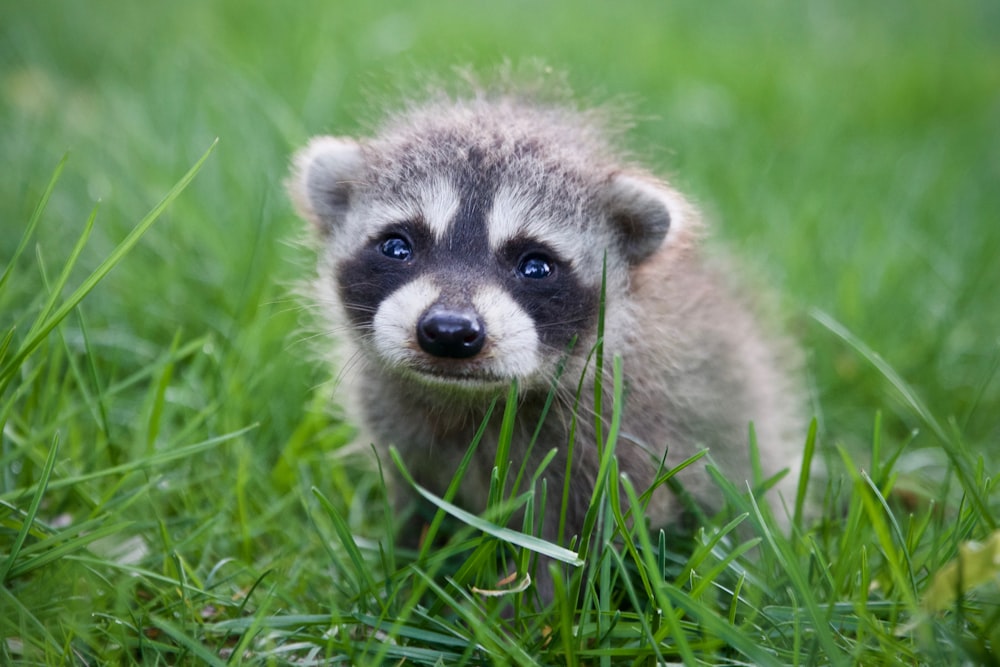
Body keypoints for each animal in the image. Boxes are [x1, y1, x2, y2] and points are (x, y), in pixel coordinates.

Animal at [290, 85, 804, 600]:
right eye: (398, 247)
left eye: (536, 265)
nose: (450, 331)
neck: (468, 398)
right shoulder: (399, 423)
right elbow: (417, 501)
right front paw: (406, 570)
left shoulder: (624, 433)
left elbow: (571, 541)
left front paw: (531, 607)